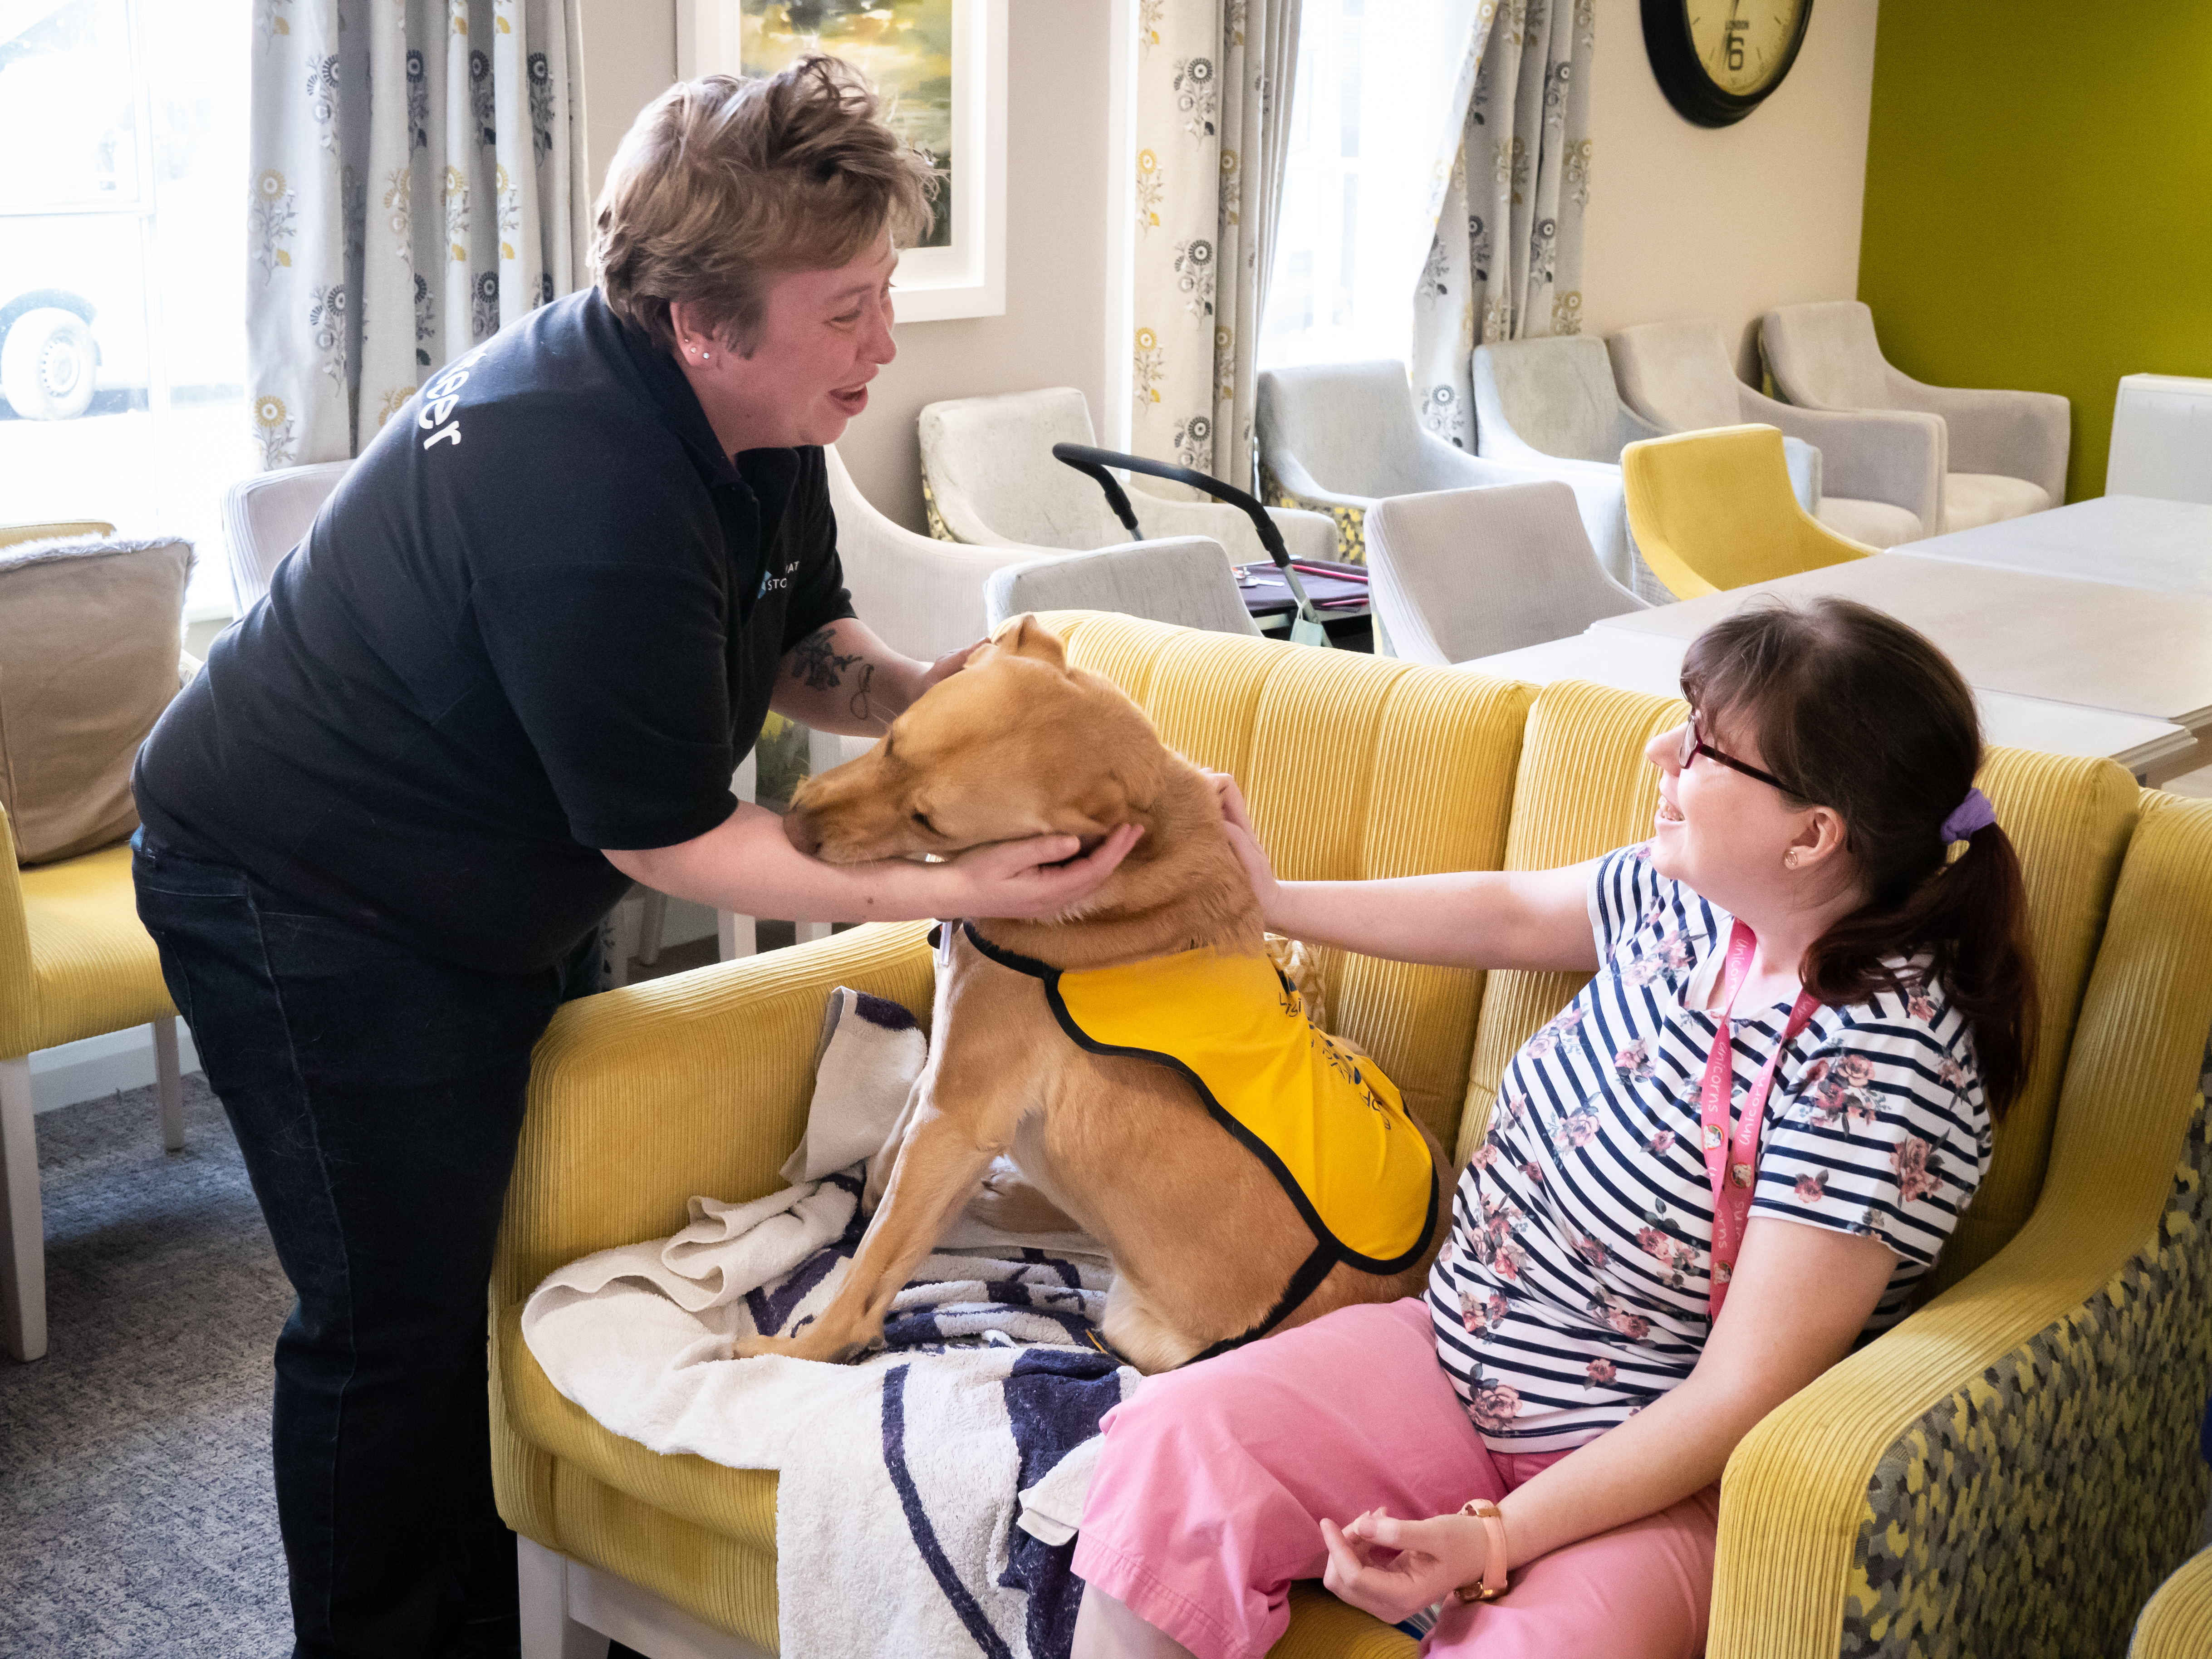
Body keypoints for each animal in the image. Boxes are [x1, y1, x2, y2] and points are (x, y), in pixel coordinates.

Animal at [743, 619, 1451, 1371]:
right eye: (888, 740)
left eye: (928, 820)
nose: (792, 827)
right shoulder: (947, 1060)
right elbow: (893, 1141)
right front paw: (875, 1182)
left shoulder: (959, 1112)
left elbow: (877, 1253)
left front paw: (799, 1349)